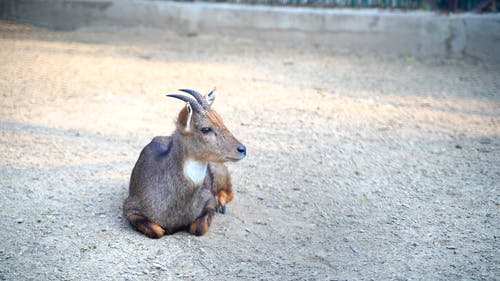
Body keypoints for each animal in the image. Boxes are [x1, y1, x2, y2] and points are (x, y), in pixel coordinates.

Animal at [122, 88, 245, 237]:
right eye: (206, 129)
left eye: (221, 121)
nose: (242, 149)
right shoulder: (130, 206)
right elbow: (156, 232)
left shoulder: (208, 200)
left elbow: (198, 228)